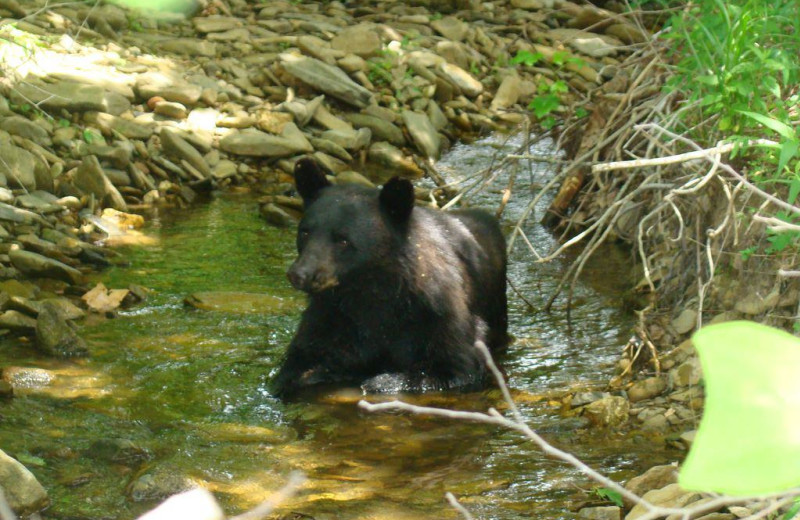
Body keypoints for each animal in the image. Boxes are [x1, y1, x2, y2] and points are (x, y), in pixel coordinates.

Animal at [272, 156, 510, 396]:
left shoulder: (438, 312)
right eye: (305, 232)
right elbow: (303, 358)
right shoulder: (331, 315)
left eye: (343, 240)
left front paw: (380, 381)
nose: (300, 273)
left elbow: (455, 366)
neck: (370, 288)